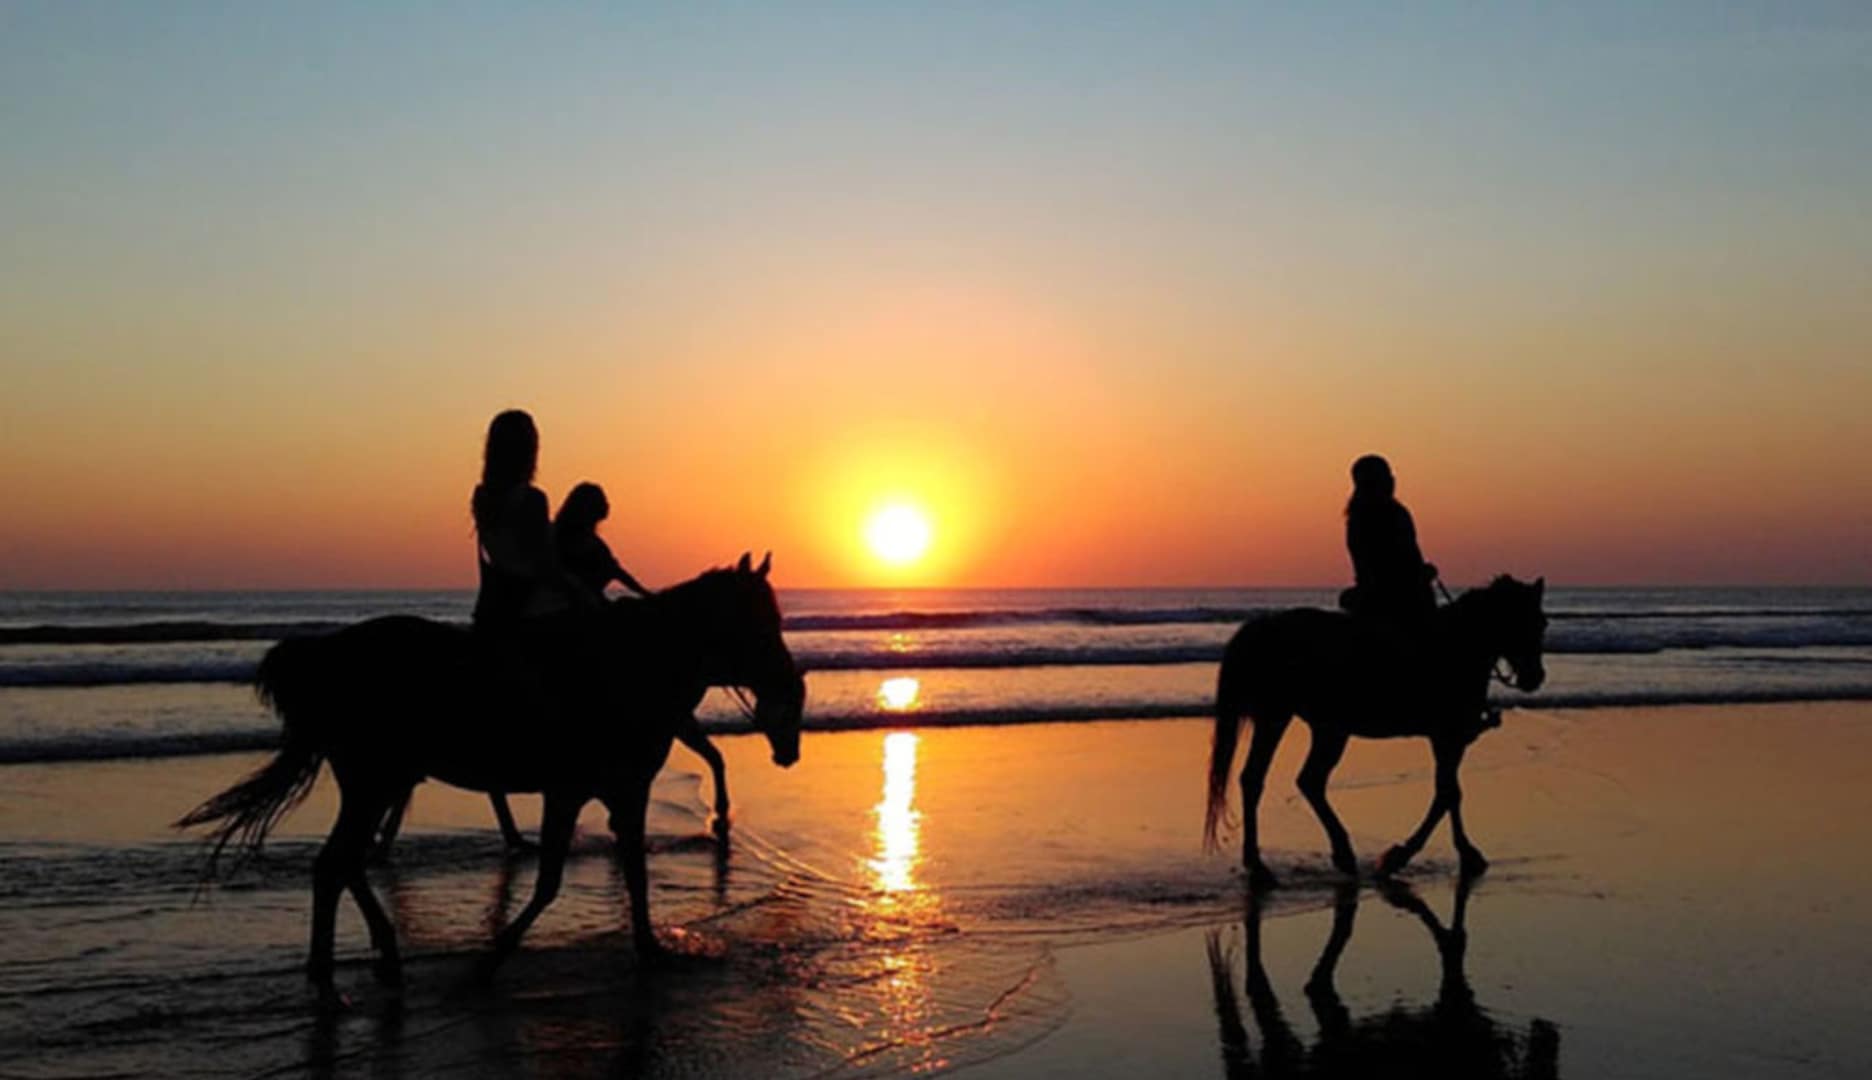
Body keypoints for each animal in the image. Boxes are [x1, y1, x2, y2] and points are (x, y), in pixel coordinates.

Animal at [177, 553, 805, 1006]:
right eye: (760, 623)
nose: (790, 686)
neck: (626, 666)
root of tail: (327, 655)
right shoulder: (572, 791)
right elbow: (552, 881)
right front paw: (490, 960)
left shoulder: (622, 792)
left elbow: (634, 873)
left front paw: (649, 951)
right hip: (374, 781)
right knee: (337, 864)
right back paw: (339, 976)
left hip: (376, 782)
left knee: (343, 863)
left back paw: (367, 960)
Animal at [1204, 575, 1547, 889]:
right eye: (1520, 621)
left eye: (1541, 623)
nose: (1535, 677)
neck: (1455, 646)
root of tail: (1265, 626)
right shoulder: (1447, 737)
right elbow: (1448, 793)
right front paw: (1405, 855)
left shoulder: (1448, 740)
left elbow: (1449, 792)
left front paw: (1461, 852)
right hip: (1279, 717)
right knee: (1262, 779)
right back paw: (1262, 863)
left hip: (1325, 728)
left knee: (1303, 780)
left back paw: (1334, 854)